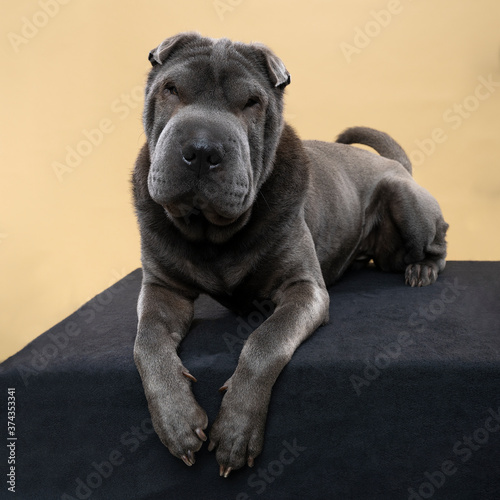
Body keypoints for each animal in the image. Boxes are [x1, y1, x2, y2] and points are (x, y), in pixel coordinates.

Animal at [132, 31, 450, 476]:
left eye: (252, 102)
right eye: (171, 89)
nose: (202, 149)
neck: (212, 234)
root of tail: (393, 162)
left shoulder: (304, 289)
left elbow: (265, 342)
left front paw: (236, 430)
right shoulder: (163, 289)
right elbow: (146, 342)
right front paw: (176, 420)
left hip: (404, 198)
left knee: (438, 241)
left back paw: (423, 269)